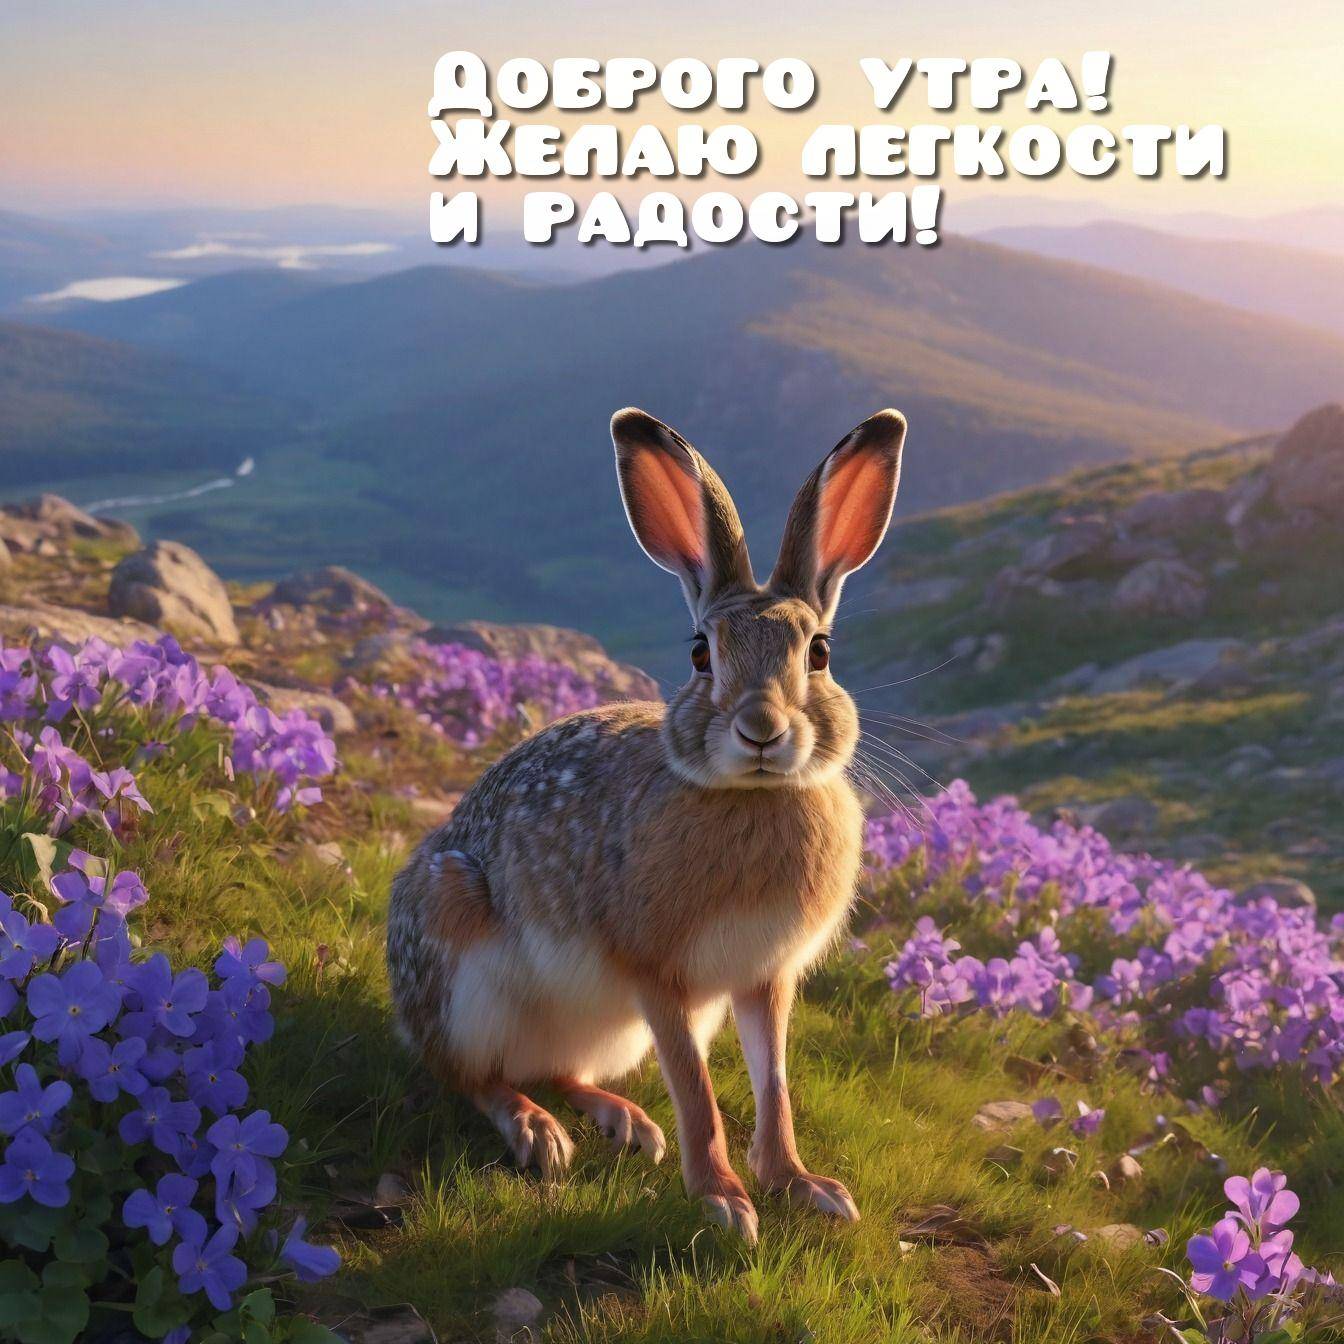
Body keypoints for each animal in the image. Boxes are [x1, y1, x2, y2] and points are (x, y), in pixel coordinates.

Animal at [387, 405, 906, 1243]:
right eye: (700, 654)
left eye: (820, 653)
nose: (761, 729)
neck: (749, 793)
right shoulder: (656, 974)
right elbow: (696, 1090)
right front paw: (725, 1200)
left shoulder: (765, 978)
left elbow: (776, 1085)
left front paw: (803, 1186)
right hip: (462, 967)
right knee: (473, 1074)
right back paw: (537, 1131)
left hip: (606, 1029)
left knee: (557, 1067)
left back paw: (622, 1120)